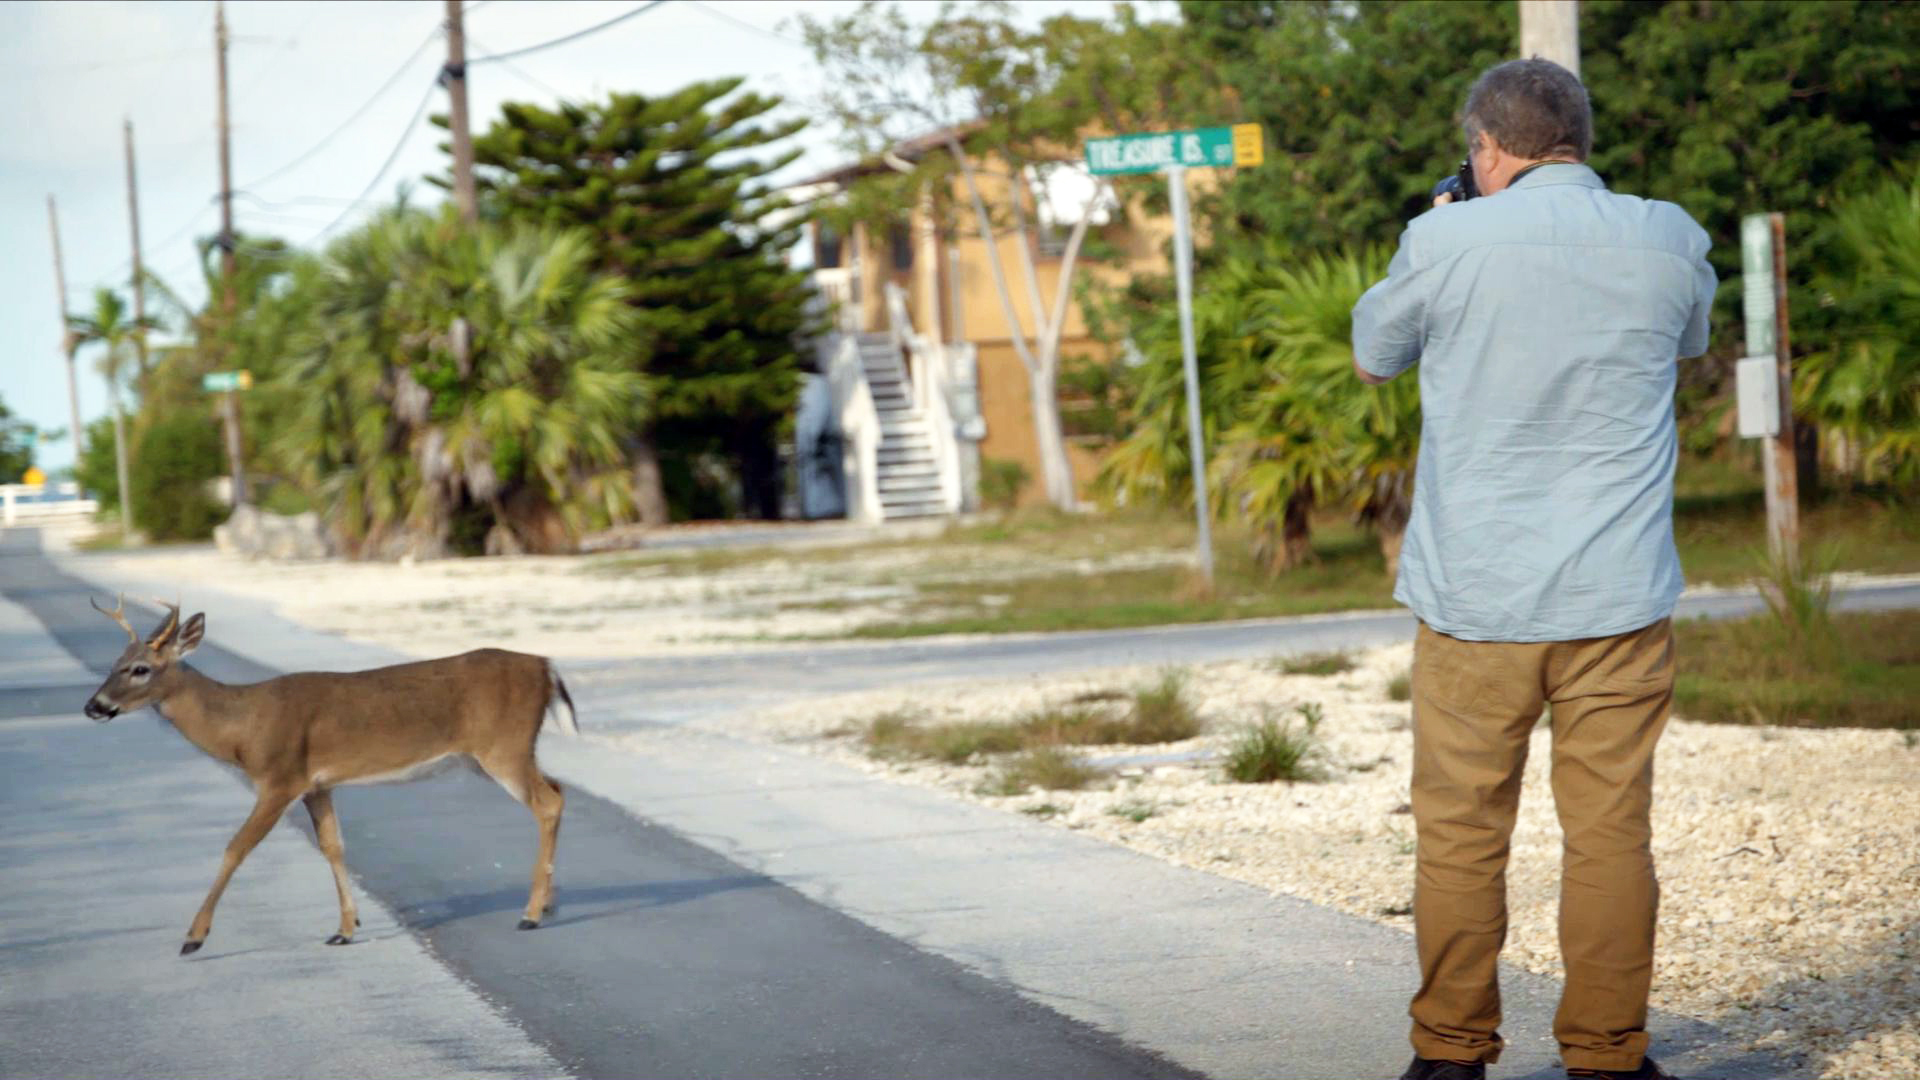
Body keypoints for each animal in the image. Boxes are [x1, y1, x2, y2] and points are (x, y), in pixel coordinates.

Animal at [82, 591, 576, 953]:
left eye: (140, 668)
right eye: (113, 665)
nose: (93, 706)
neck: (242, 725)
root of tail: (545, 666)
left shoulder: (278, 778)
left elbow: (235, 847)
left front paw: (193, 937)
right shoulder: (315, 784)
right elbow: (333, 846)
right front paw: (345, 928)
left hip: (503, 746)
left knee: (547, 802)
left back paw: (530, 914)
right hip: (497, 754)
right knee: (556, 789)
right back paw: (548, 905)